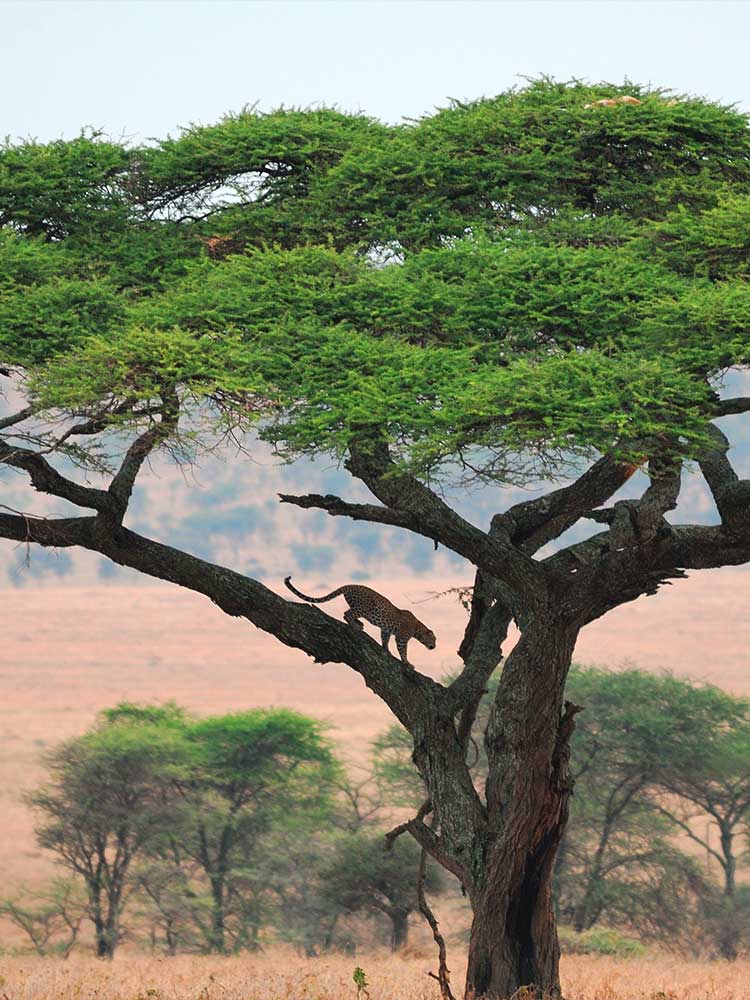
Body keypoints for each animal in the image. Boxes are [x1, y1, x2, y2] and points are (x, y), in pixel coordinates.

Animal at [284, 576, 436, 666]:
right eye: (433, 639)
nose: (434, 647)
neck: (418, 628)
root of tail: (350, 585)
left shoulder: (386, 630)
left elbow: (384, 639)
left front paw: (386, 650)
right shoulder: (401, 638)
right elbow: (403, 651)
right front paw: (407, 663)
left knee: (349, 614)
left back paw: (359, 624)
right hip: (363, 608)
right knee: (347, 614)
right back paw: (356, 626)